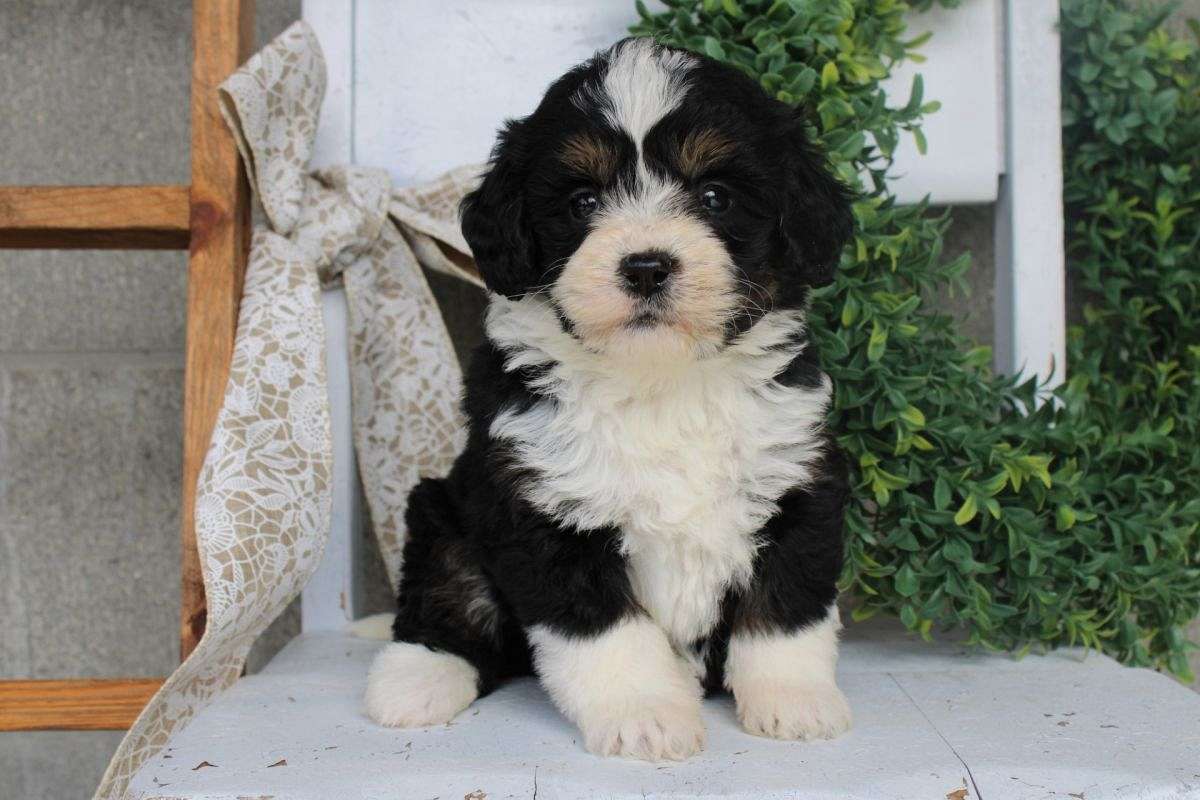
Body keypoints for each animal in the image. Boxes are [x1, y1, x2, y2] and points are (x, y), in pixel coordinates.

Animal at [362, 38, 854, 762]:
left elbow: (786, 606)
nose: (646, 266)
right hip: (445, 507)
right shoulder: (538, 501)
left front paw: (795, 701)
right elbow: (606, 629)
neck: (659, 382)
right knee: (450, 590)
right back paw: (414, 679)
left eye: (715, 196)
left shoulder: (797, 476)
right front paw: (646, 714)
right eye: (583, 201)